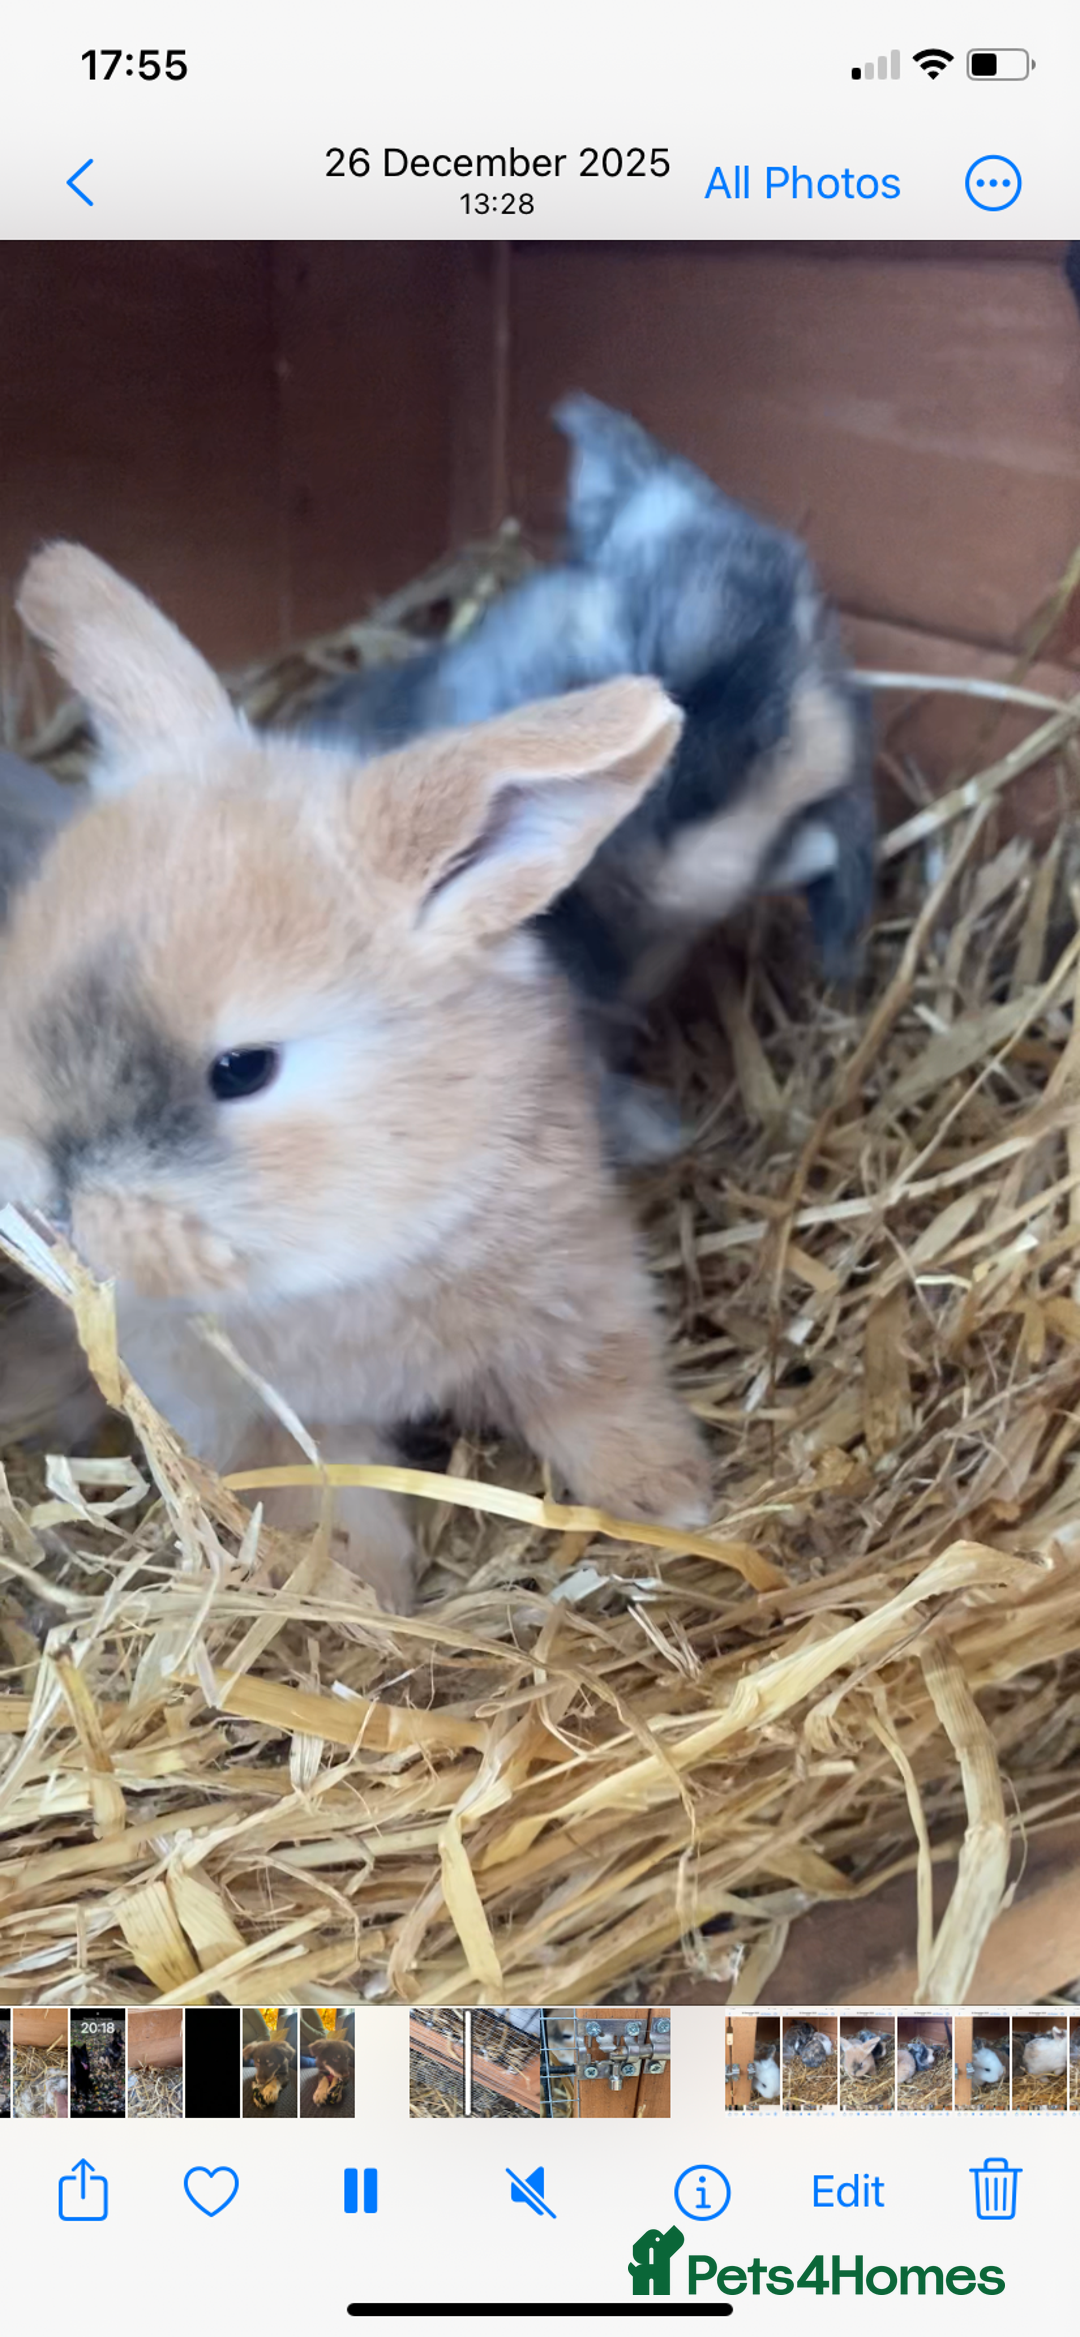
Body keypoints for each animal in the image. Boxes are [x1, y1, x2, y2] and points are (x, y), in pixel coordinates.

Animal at [0, 543, 711, 1612]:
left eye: (242, 1068)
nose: (52, 1199)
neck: (345, 1254)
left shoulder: (580, 1290)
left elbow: (604, 1399)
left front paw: (677, 1502)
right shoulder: (275, 1420)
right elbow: (332, 1502)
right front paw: (363, 1600)